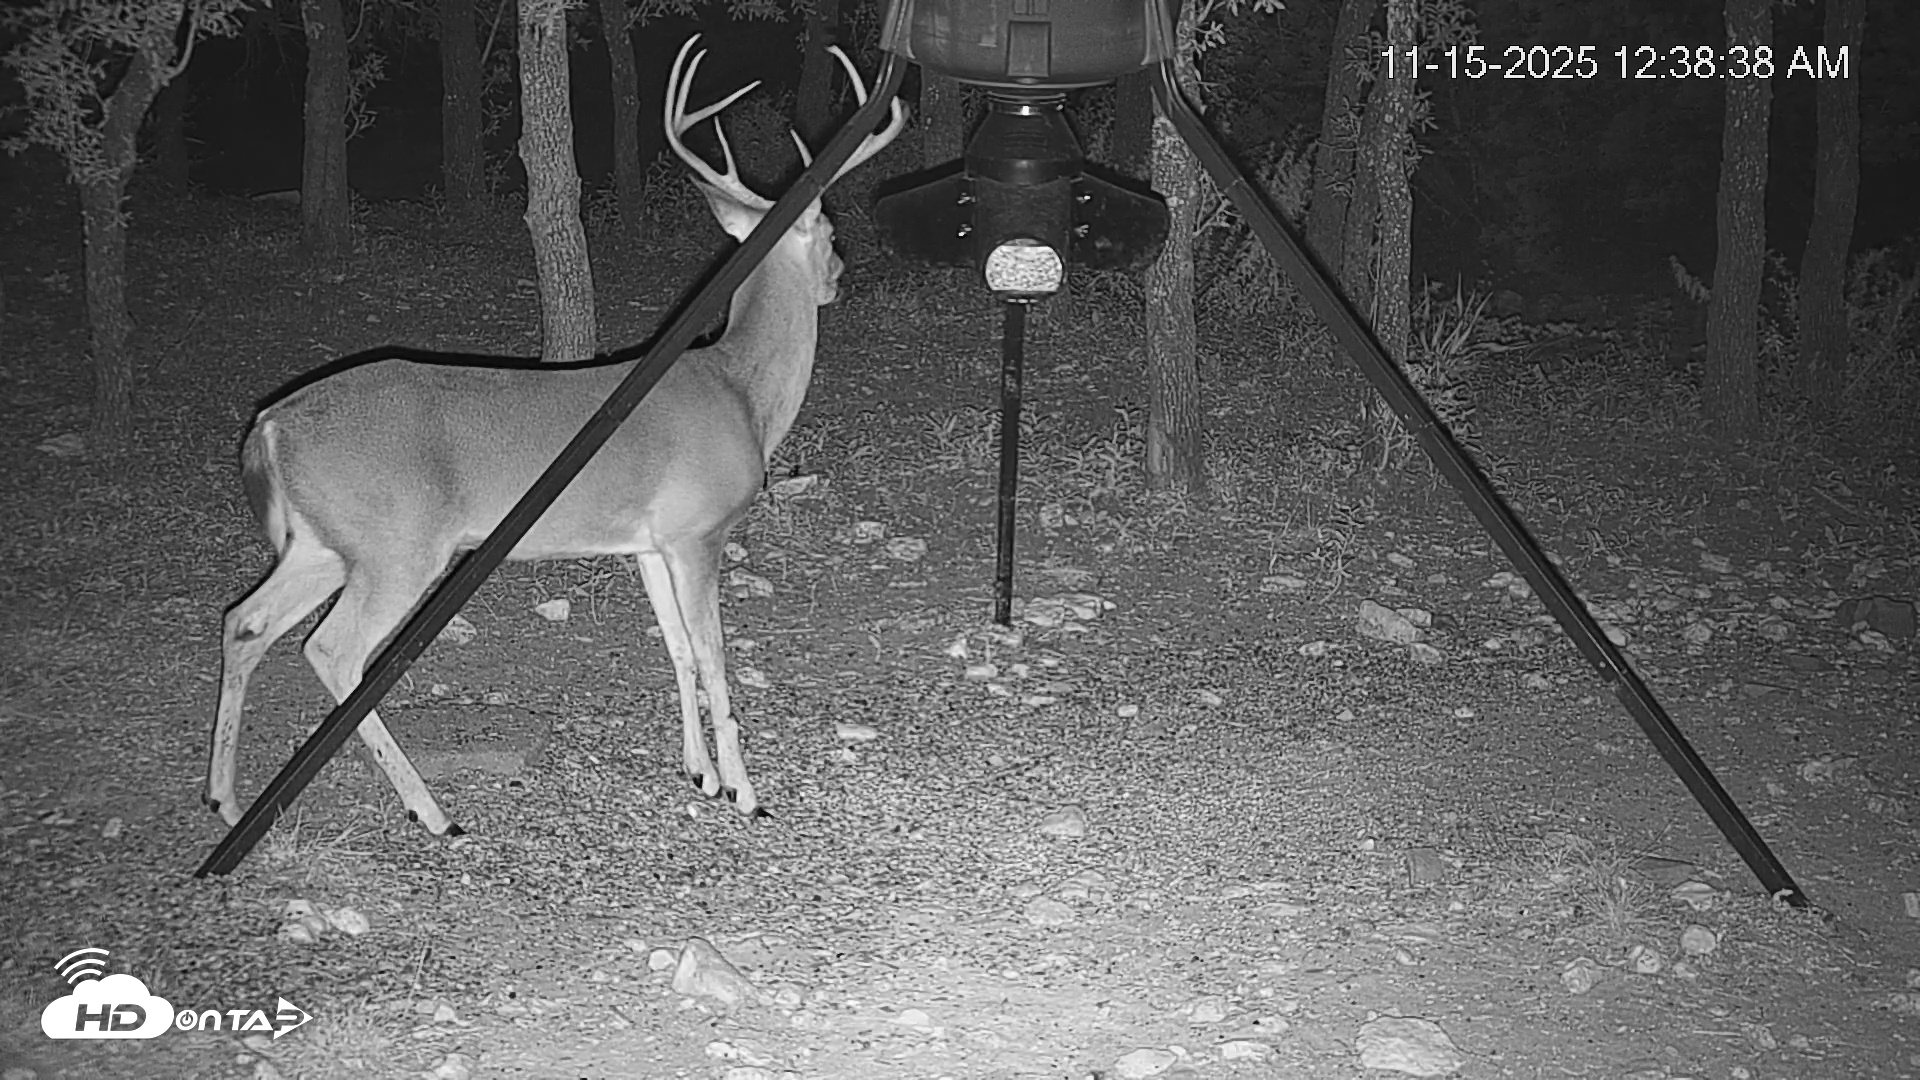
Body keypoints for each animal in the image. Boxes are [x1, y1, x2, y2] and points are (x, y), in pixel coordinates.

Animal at [205, 35, 907, 836]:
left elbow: (678, 652)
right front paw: (746, 792)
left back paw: (225, 799)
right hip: (398, 545)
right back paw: (432, 812)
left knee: (244, 620)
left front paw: (699, 774)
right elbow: (713, 658)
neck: (742, 391)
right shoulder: (699, 529)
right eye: (830, 232)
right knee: (331, 648)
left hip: (323, 543)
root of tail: (268, 425)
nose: (840, 275)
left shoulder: (647, 543)